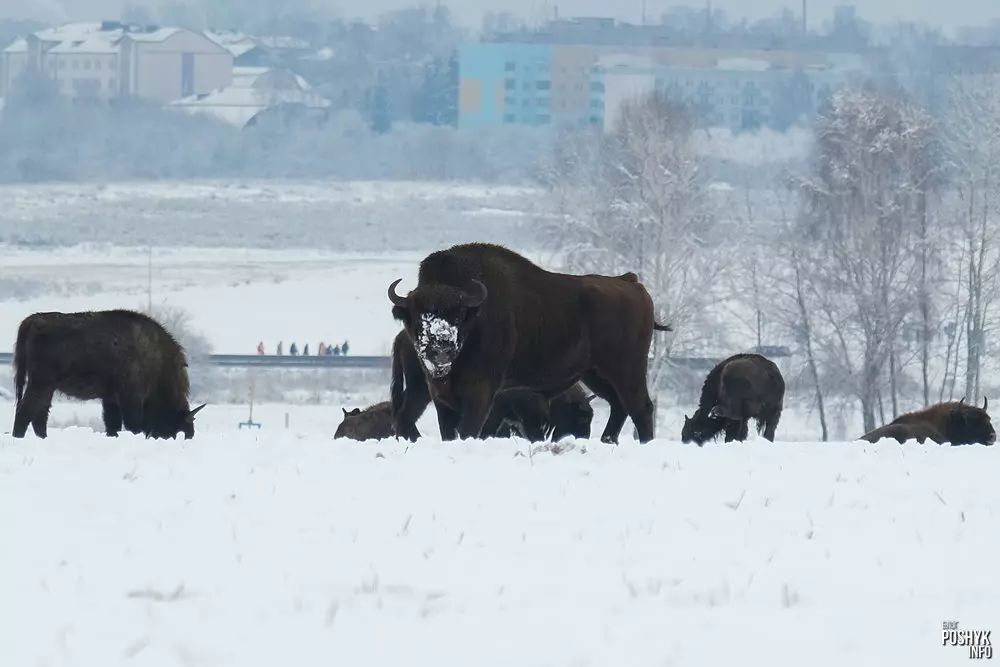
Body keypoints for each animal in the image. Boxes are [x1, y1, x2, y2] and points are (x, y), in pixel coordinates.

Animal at [12, 309, 205, 440]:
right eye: (177, 425)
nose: (167, 437)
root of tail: (33, 320)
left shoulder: (111, 398)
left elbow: (113, 423)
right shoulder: (130, 396)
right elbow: (132, 423)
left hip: (47, 386)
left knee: (39, 414)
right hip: (41, 383)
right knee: (26, 410)